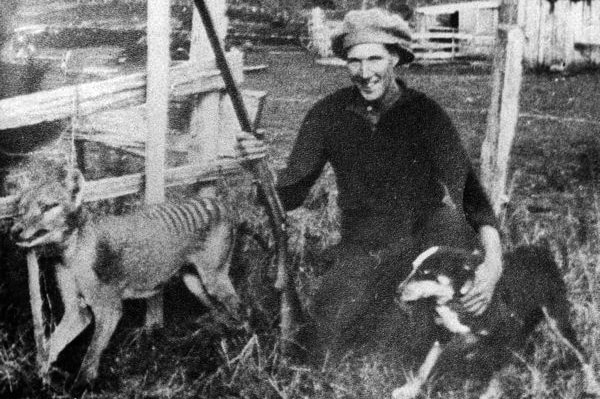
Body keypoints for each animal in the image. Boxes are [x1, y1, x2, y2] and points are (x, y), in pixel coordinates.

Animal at [392, 247, 584, 399]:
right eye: (413, 268)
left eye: (425, 272)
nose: (397, 291)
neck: (457, 299)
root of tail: (539, 251)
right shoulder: (443, 335)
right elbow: (425, 367)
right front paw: (409, 390)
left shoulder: (507, 336)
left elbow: (497, 373)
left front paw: (490, 393)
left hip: (557, 320)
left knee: (581, 353)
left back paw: (589, 384)